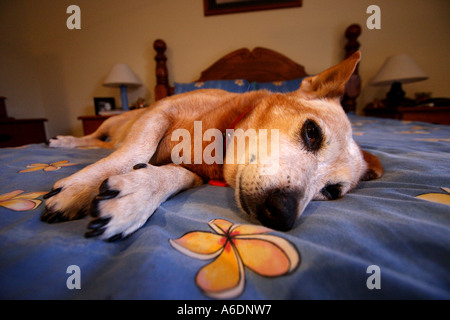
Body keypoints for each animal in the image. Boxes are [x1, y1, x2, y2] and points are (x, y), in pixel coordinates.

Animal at [42, 51, 382, 240]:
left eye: (332, 192)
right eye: (312, 132)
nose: (283, 214)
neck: (217, 141)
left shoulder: (193, 173)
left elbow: (173, 176)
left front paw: (135, 196)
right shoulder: (160, 113)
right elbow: (136, 151)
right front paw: (77, 190)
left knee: (98, 146)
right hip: (114, 121)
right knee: (95, 139)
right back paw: (63, 141)